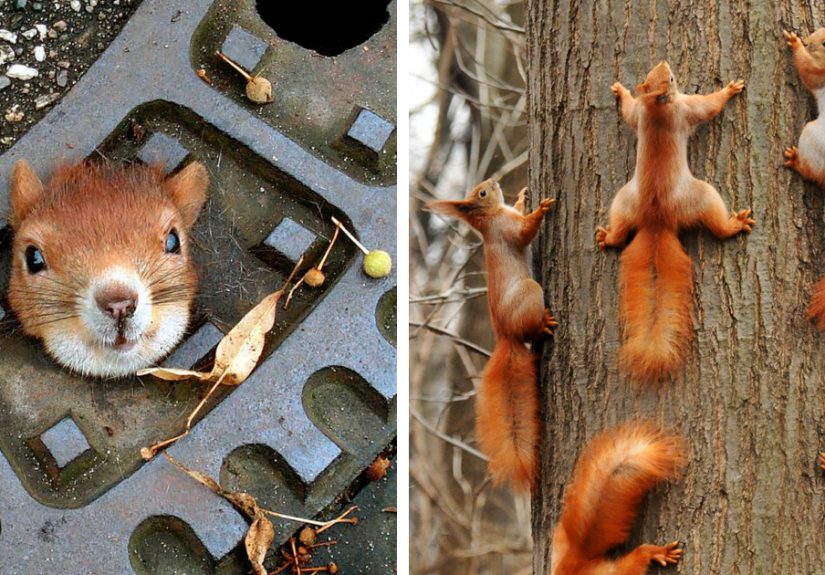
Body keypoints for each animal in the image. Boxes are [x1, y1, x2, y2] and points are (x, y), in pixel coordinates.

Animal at [427, 180, 555, 490]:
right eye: (482, 193)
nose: (493, 183)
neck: (491, 217)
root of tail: (505, 336)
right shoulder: (506, 229)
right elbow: (524, 232)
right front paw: (541, 209)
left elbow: (519, 211)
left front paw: (522, 197)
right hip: (530, 292)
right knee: (532, 329)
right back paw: (544, 324)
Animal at [598, 61, 754, 381]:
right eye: (670, 79)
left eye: (654, 74)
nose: (665, 62)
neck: (657, 108)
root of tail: (656, 221)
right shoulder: (687, 107)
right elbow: (709, 106)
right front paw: (729, 90)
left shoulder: (641, 113)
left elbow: (629, 111)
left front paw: (621, 92)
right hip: (702, 195)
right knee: (717, 225)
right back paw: (734, 225)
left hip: (622, 202)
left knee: (620, 231)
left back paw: (609, 237)